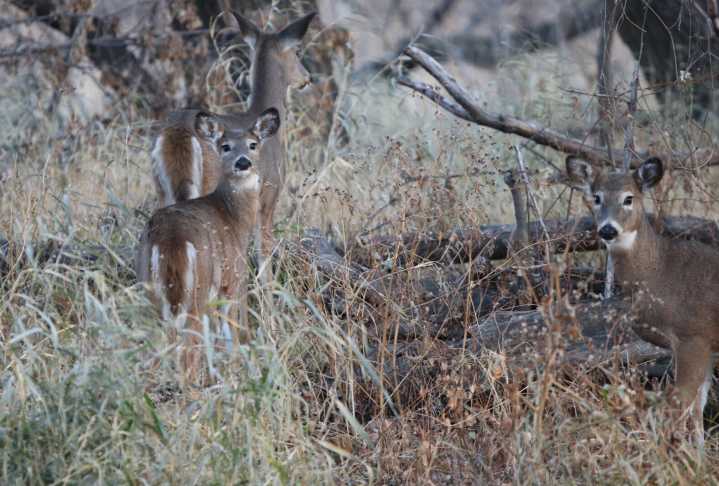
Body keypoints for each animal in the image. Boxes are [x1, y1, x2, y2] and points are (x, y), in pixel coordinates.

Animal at [136, 107, 280, 384]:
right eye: (225, 146)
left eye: (253, 144)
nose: (243, 162)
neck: (232, 217)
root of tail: (171, 240)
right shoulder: (233, 278)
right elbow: (231, 335)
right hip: (196, 292)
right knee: (188, 354)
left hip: (151, 291)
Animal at [151, 11, 316, 285]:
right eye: (297, 51)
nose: (307, 78)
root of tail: (178, 132)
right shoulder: (268, 195)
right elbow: (264, 253)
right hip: (206, 186)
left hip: (160, 187)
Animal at [566, 155, 719, 446]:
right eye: (596, 197)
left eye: (629, 198)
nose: (607, 230)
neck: (659, 273)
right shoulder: (703, 346)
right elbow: (698, 407)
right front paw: (697, 451)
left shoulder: (692, 337)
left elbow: (681, 404)